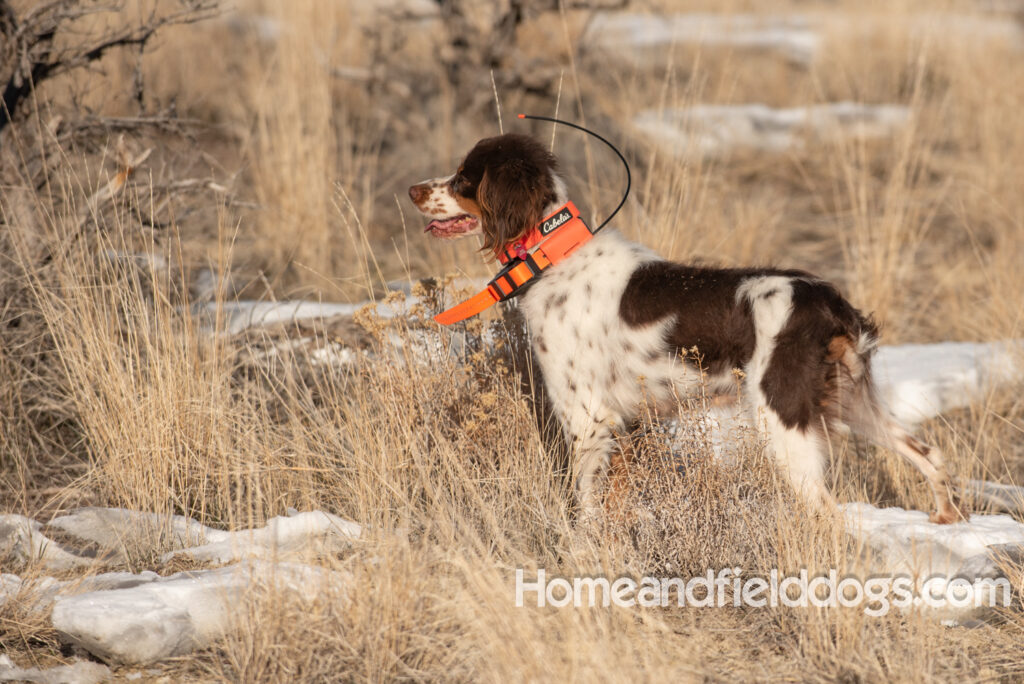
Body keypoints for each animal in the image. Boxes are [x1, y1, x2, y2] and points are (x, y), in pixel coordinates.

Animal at [409, 136, 966, 528]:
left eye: (464, 178)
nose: (413, 190)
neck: (553, 255)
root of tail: (828, 301)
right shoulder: (623, 426)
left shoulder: (588, 419)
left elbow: (585, 506)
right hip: (852, 401)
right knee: (929, 454)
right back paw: (945, 517)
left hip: (783, 421)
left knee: (828, 509)